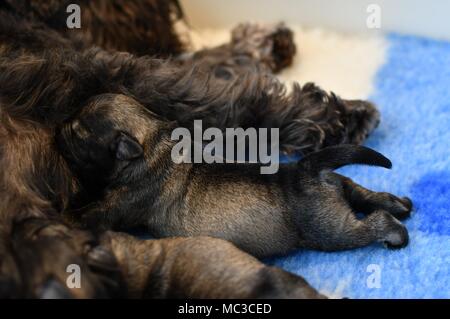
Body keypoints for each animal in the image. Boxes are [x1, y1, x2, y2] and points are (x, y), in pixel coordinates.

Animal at [58, 94, 414, 258]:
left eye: (77, 132)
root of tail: (306, 169)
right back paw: (400, 204)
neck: (151, 141)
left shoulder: (120, 203)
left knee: (370, 224)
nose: (58, 129)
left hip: (329, 229)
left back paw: (396, 233)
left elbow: (90, 214)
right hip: (341, 189)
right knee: (366, 195)